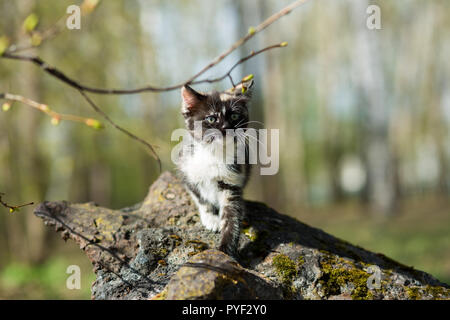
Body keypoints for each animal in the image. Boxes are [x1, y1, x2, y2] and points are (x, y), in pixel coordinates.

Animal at [176, 80, 253, 258]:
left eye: (234, 116)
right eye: (211, 118)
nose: (225, 127)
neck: (214, 153)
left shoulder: (232, 181)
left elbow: (232, 216)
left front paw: (225, 252)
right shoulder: (186, 170)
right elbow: (200, 197)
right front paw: (211, 219)